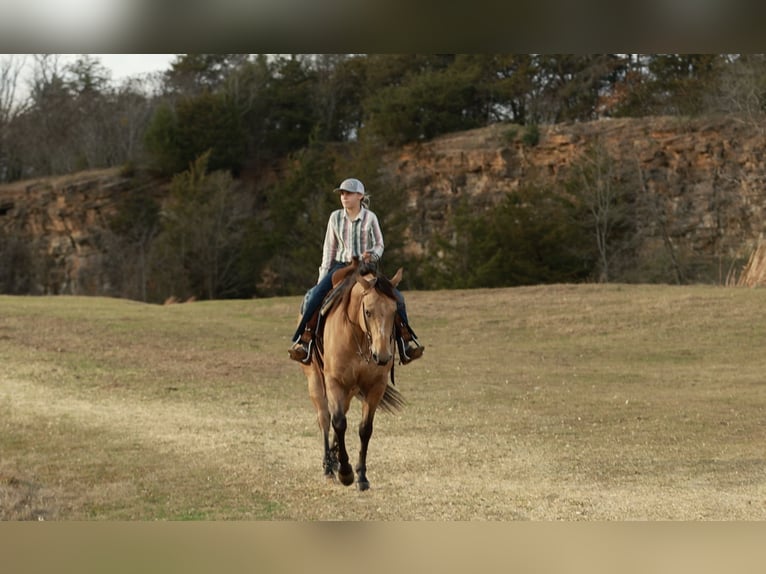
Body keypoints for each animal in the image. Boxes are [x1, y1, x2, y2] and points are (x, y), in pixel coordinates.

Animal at [299, 263, 405, 490]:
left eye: (394, 311)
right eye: (368, 311)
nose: (382, 355)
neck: (359, 338)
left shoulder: (375, 387)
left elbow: (365, 429)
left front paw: (362, 476)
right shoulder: (334, 382)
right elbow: (339, 423)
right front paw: (346, 473)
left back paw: (334, 458)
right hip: (315, 381)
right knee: (325, 418)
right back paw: (329, 468)